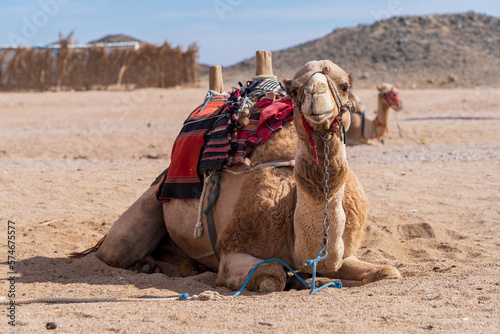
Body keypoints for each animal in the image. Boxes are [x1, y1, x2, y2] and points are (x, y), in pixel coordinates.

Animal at [74, 58, 402, 292]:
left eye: (344, 85)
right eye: (296, 89)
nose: (316, 99)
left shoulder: (343, 254)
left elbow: (389, 271)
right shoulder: (233, 252)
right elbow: (272, 275)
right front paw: (291, 278)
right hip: (149, 205)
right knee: (115, 250)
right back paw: (150, 266)